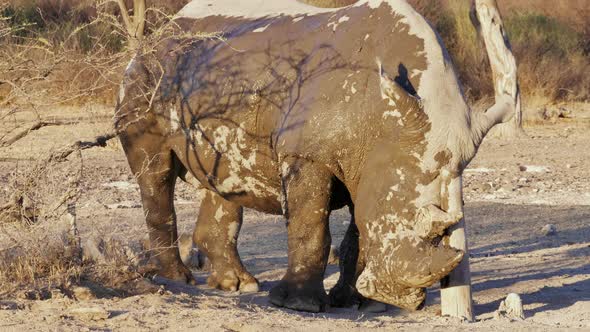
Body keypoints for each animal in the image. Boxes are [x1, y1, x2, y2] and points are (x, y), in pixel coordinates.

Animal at [114, 0, 512, 312]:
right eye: (398, 216)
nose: (399, 298)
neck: (384, 124)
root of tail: (161, 30)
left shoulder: (371, 162)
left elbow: (357, 232)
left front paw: (356, 302)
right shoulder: (307, 153)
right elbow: (311, 226)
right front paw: (299, 305)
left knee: (224, 177)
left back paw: (238, 285)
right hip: (146, 76)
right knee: (156, 173)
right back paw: (178, 279)